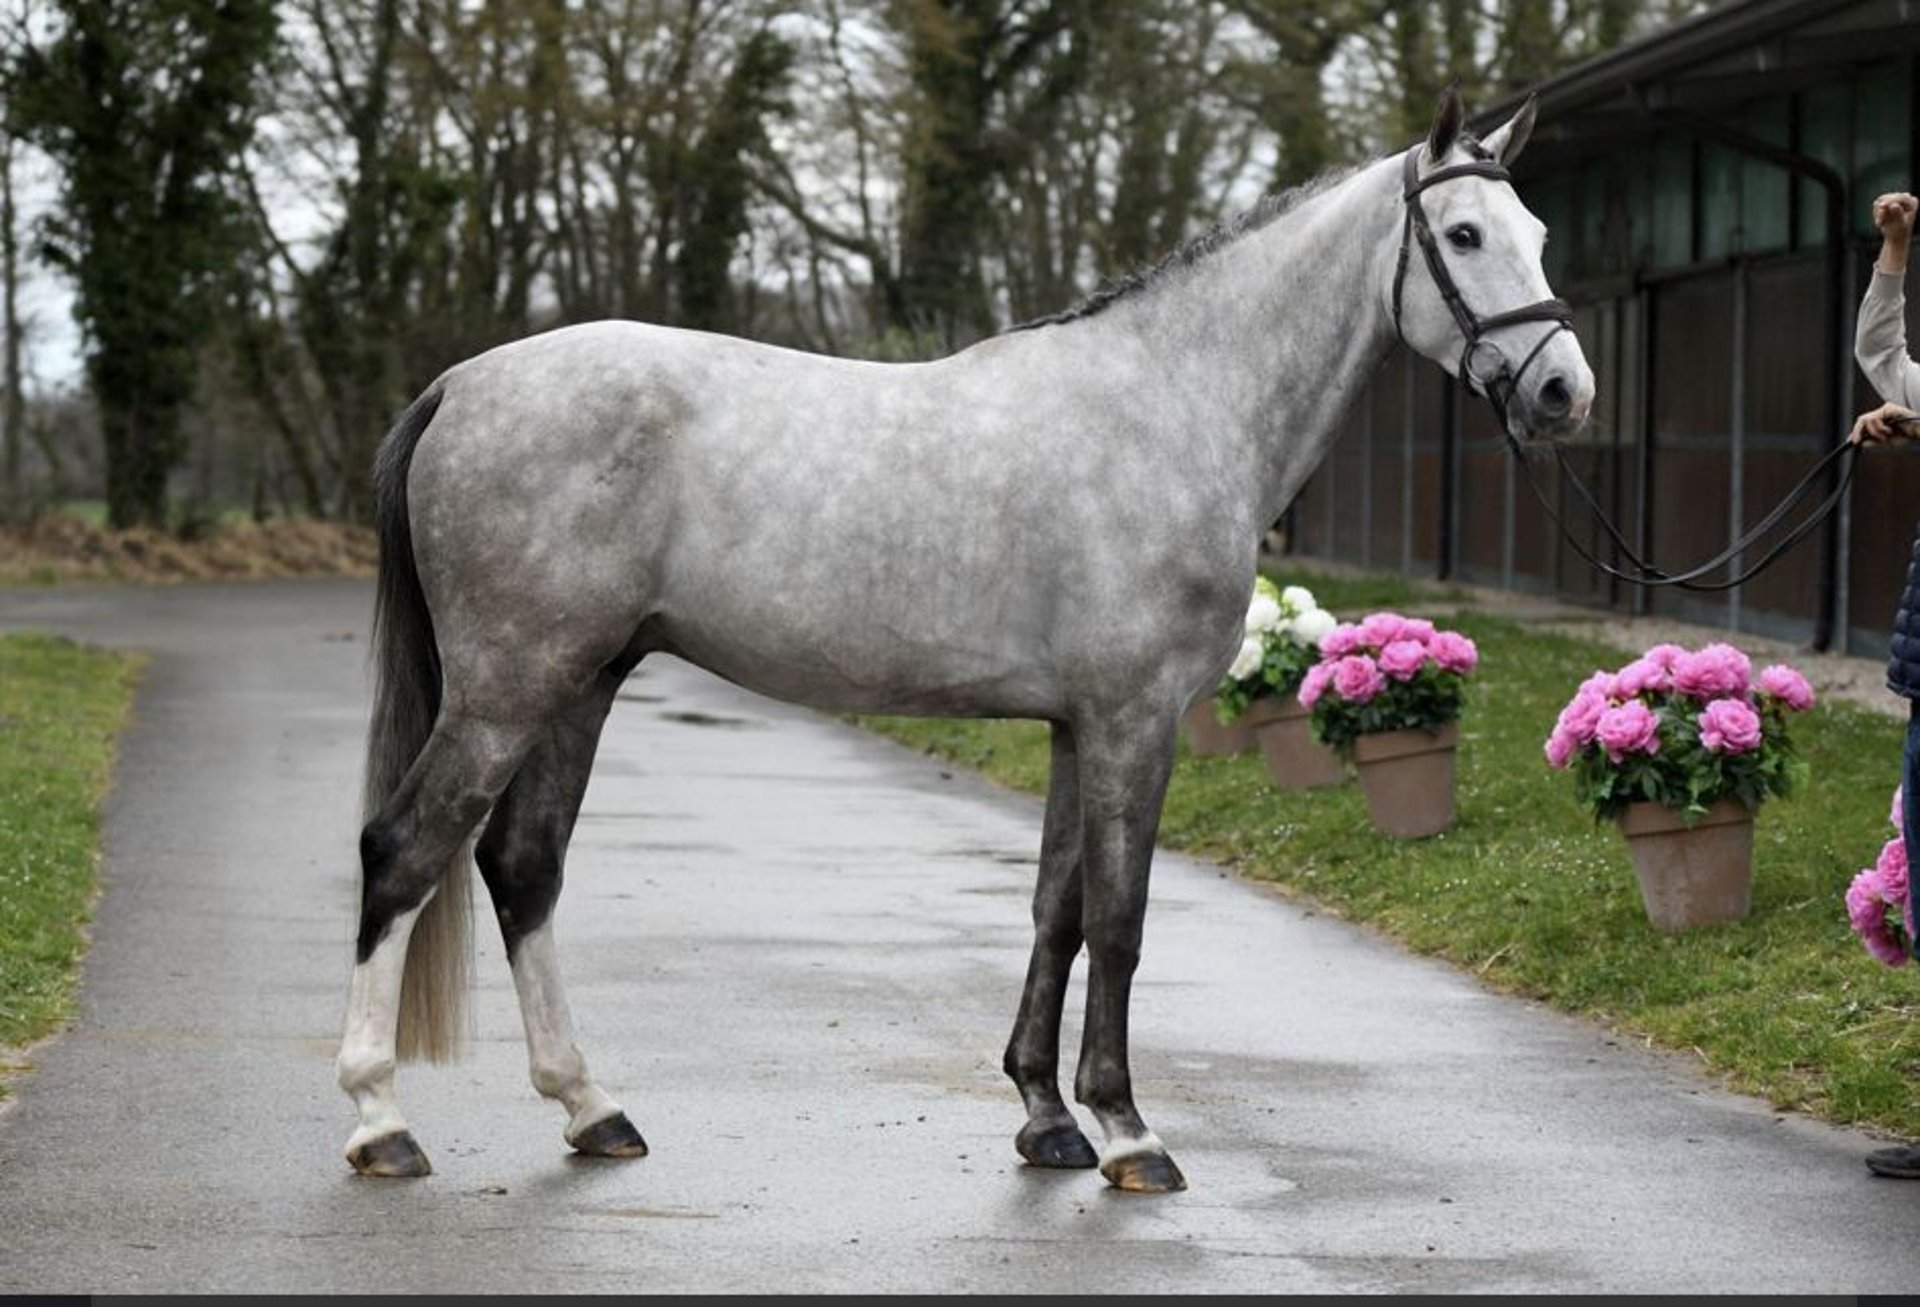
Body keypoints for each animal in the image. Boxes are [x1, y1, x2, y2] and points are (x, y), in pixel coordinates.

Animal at [341, 91, 1589, 1189]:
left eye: (1535, 232)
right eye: (1464, 234)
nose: (1564, 392)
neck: (1171, 409)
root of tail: (460, 385)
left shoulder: (1077, 724)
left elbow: (1058, 908)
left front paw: (1046, 1116)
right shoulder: (1135, 717)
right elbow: (1122, 919)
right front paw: (1130, 1131)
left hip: (582, 678)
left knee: (523, 866)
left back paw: (591, 1107)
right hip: (508, 687)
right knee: (404, 850)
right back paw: (381, 1122)